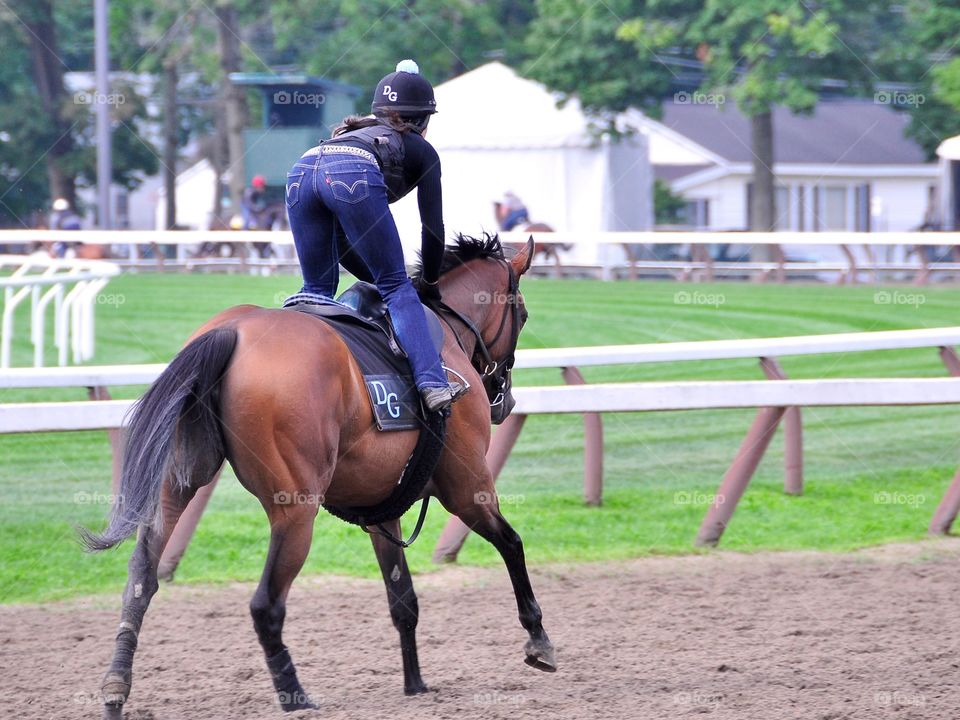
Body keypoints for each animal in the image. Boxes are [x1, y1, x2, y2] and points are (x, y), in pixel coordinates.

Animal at [82, 235, 556, 716]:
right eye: (524, 315)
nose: (505, 401)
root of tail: (232, 331)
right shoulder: (468, 487)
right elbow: (512, 543)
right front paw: (538, 639)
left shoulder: (382, 511)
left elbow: (403, 599)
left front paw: (415, 683)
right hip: (296, 511)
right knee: (265, 604)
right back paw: (295, 696)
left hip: (178, 482)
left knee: (142, 578)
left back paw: (116, 687)